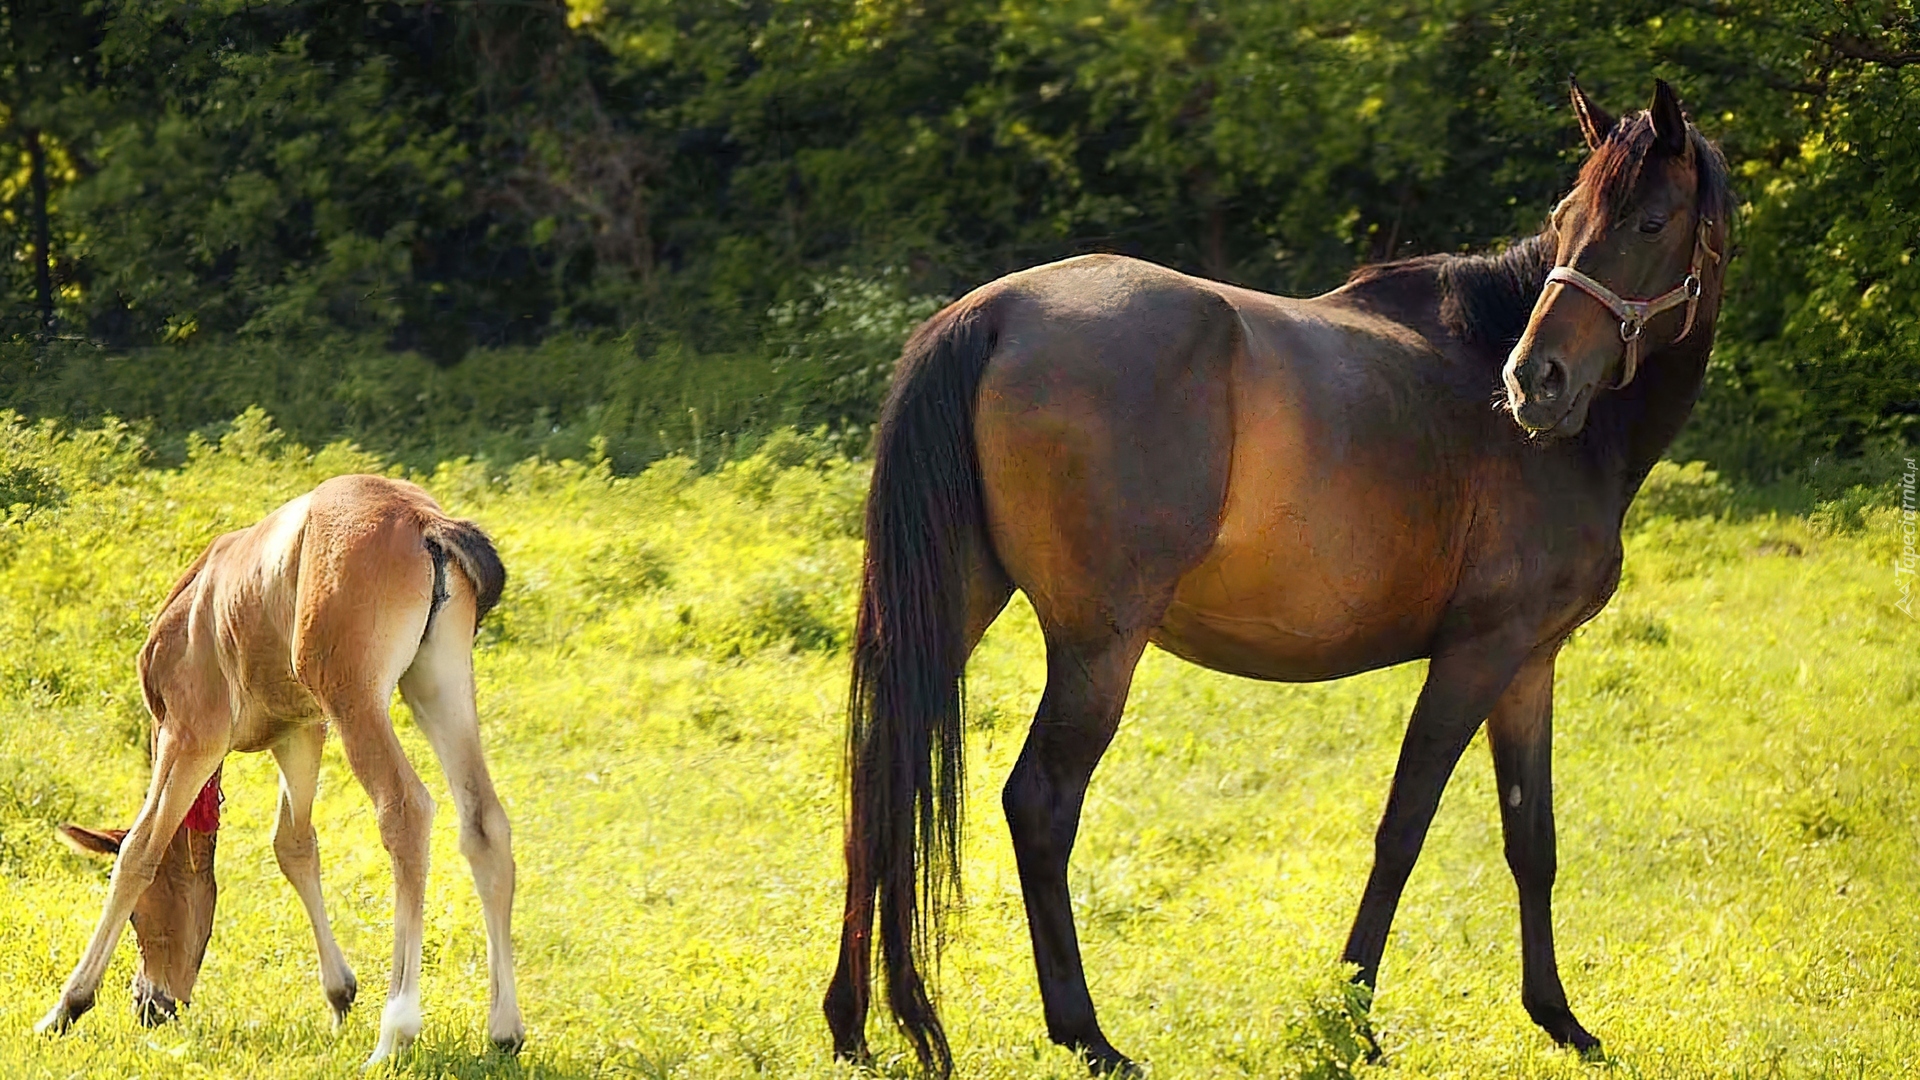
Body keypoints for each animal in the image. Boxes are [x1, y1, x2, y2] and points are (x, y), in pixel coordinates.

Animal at [43, 470, 526, 1060]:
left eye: (140, 917)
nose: (150, 1005)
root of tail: (426, 521)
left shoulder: (192, 734)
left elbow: (141, 848)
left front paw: (67, 1005)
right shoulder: (299, 732)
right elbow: (293, 846)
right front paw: (339, 995)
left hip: (356, 701)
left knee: (406, 810)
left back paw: (396, 1030)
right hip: (437, 684)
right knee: (484, 821)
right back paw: (504, 1029)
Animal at [821, 77, 1728, 1068]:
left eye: (1647, 222)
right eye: (1566, 221)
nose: (1536, 381)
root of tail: (994, 314)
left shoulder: (1531, 664)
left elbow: (1533, 840)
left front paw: (1559, 1018)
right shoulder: (1479, 654)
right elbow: (1404, 827)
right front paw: (1353, 1018)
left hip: (956, 607)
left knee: (881, 777)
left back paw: (852, 1021)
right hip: (1098, 647)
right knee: (1041, 804)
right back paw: (1086, 1033)